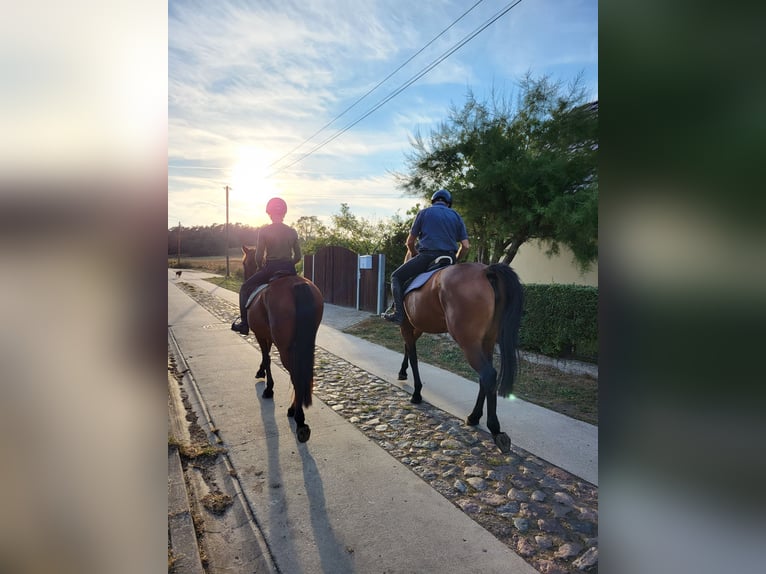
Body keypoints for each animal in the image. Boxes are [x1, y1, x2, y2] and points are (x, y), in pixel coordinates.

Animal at [242, 245, 322, 444]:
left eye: (245, 263)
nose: (245, 275)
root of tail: (297, 284)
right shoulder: (267, 336)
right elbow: (266, 358)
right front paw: (261, 372)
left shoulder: (260, 335)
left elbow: (267, 358)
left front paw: (268, 388)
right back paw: (296, 412)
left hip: (286, 348)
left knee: (295, 375)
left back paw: (299, 418)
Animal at [396, 262, 520, 454]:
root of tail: (486, 271)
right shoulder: (415, 328)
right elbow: (408, 350)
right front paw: (403, 373)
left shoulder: (406, 325)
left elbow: (414, 357)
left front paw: (416, 393)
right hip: (487, 341)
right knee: (485, 377)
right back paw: (474, 417)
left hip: (468, 342)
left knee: (488, 374)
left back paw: (495, 429)